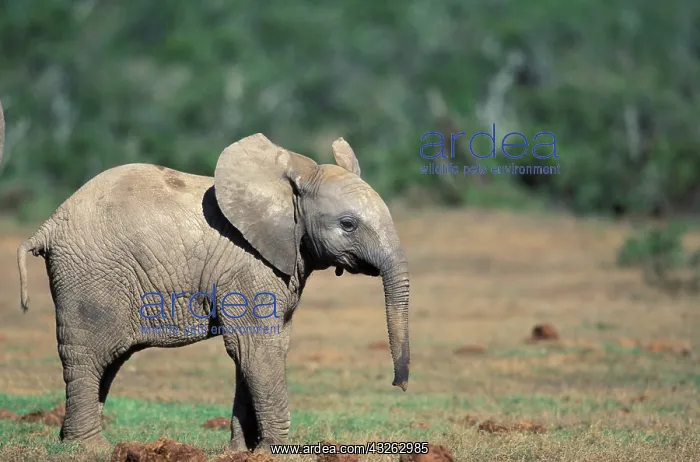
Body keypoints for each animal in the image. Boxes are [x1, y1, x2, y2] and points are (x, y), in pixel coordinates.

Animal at [16, 133, 411, 452]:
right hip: (91, 277)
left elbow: (261, 349)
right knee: (89, 355)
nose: (399, 385)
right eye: (348, 225)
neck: (291, 186)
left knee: (107, 360)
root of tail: (49, 224)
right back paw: (91, 448)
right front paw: (273, 451)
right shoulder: (249, 267)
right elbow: (256, 348)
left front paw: (240, 451)